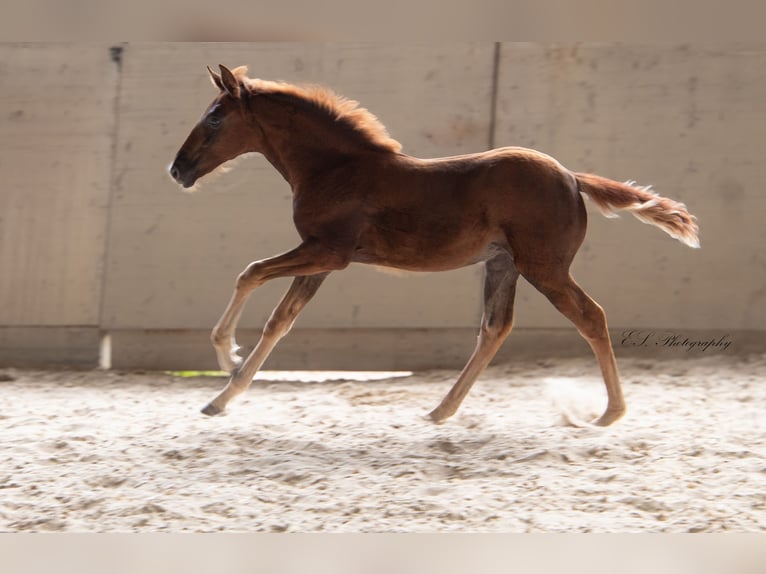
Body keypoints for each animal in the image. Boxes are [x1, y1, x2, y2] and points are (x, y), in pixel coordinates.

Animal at [171, 64, 700, 428]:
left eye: (215, 118)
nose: (177, 169)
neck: (336, 169)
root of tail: (572, 177)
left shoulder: (329, 253)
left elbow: (250, 272)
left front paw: (226, 359)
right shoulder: (319, 259)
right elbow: (279, 322)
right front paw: (222, 397)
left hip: (544, 268)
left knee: (591, 317)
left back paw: (610, 413)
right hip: (504, 264)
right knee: (495, 328)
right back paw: (441, 410)